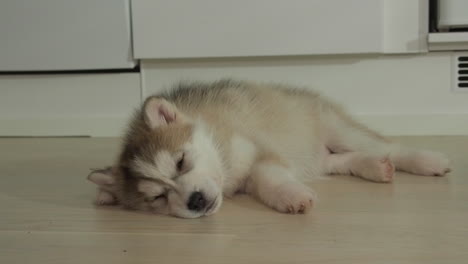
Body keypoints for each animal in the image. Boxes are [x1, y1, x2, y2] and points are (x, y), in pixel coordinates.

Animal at [87, 79, 450, 219]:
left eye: (181, 161)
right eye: (157, 198)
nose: (196, 201)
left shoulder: (257, 150)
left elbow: (268, 176)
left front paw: (291, 195)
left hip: (336, 129)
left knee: (389, 146)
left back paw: (426, 160)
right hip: (317, 158)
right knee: (343, 160)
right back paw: (377, 167)